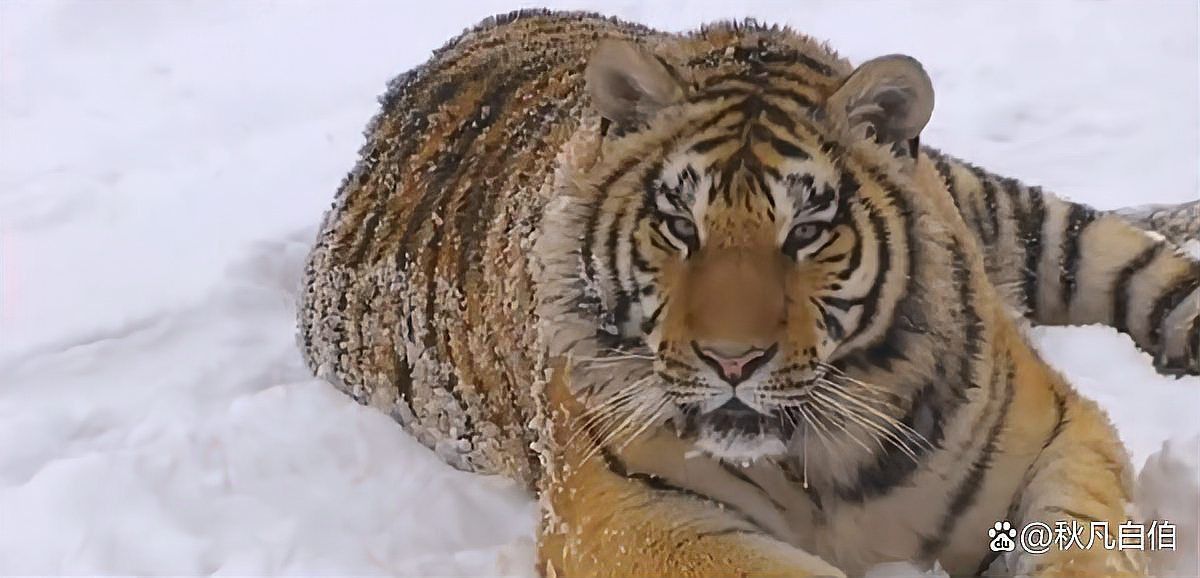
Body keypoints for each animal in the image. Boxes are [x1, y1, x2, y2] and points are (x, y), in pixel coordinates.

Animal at [297, 10, 1200, 577]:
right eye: (678, 227)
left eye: (806, 232)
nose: (733, 363)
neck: (826, 457)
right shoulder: (628, 514)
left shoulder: (1055, 433)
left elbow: (1080, 544)